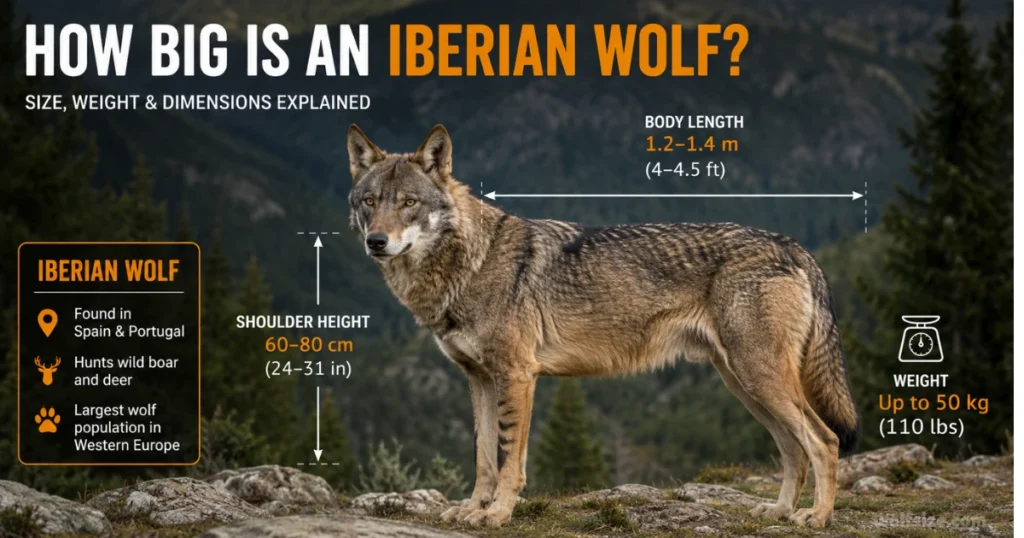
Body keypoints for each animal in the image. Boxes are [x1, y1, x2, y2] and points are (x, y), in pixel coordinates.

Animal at [346, 124, 860, 528]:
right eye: (370, 201)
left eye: (409, 202)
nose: (376, 242)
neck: (469, 262)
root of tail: (791, 245)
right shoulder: (478, 379)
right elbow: (483, 459)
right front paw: (472, 510)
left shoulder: (516, 376)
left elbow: (509, 459)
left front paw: (498, 515)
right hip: (745, 385)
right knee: (793, 448)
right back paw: (779, 511)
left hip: (760, 379)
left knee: (824, 440)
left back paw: (817, 516)